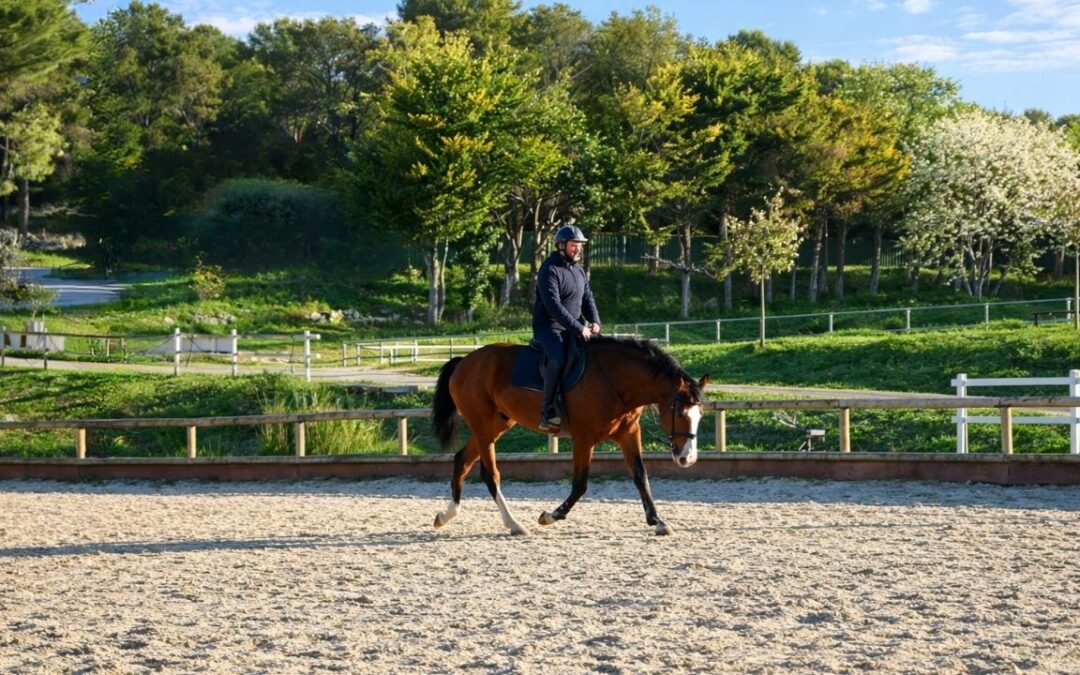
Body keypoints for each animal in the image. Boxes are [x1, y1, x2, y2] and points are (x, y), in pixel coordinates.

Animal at [431, 335, 709, 536]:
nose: (687, 459)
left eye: (700, 414)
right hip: (483, 426)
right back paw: (514, 524)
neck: (614, 380)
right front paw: (550, 516)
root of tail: (465, 362)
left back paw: (445, 516)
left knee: (462, 460)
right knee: (490, 474)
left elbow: (641, 476)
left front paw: (657, 521)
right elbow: (580, 484)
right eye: (680, 412)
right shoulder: (584, 438)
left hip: (494, 426)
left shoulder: (629, 433)